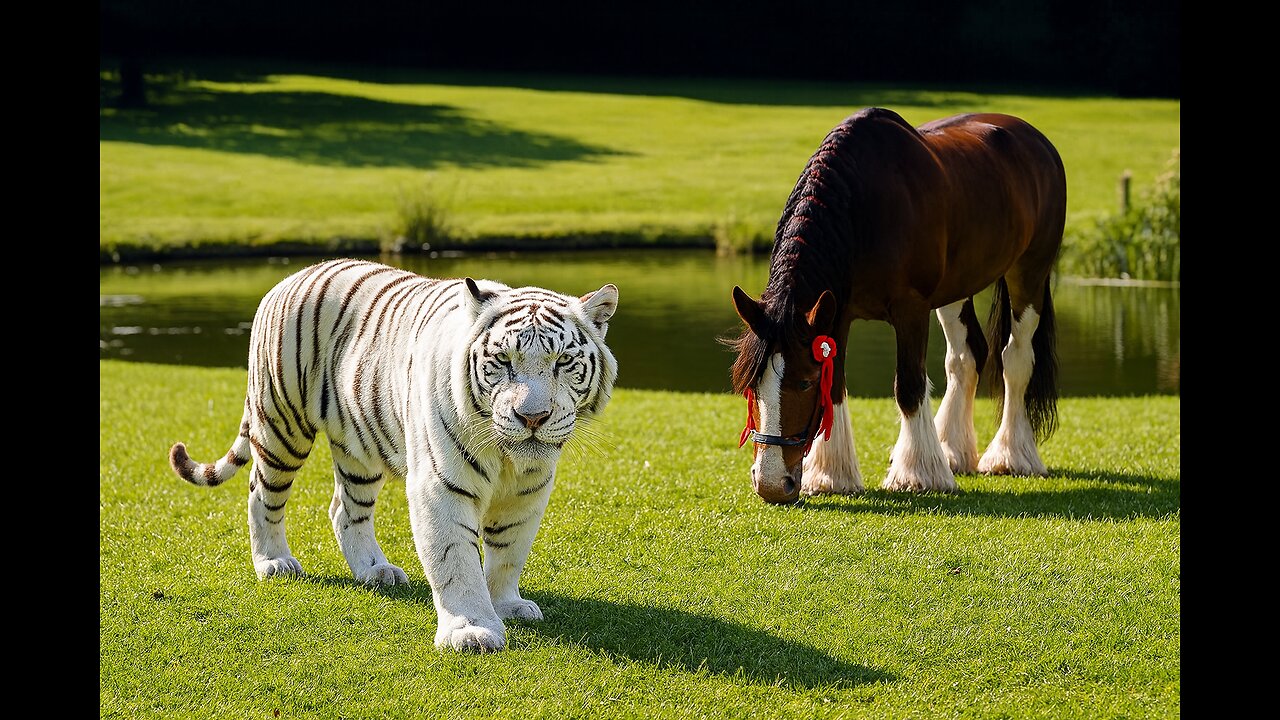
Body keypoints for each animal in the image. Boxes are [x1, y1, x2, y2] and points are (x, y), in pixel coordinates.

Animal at [167, 258, 619, 652]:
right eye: (503, 360)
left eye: (564, 361)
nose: (533, 417)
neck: (508, 458)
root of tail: (289, 279)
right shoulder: (441, 485)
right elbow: (456, 561)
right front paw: (471, 631)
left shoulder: (528, 493)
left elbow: (509, 552)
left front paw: (506, 605)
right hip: (283, 424)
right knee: (262, 494)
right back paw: (273, 562)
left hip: (359, 451)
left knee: (344, 510)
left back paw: (375, 571)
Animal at [729, 107, 1065, 504]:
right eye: (752, 384)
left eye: (803, 382)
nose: (770, 483)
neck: (862, 206)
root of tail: (1038, 141)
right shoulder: (836, 314)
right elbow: (837, 384)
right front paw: (831, 474)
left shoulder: (911, 310)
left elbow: (909, 384)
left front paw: (918, 474)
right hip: (955, 288)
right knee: (966, 357)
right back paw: (951, 450)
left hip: (1029, 272)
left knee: (1015, 359)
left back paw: (1009, 455)